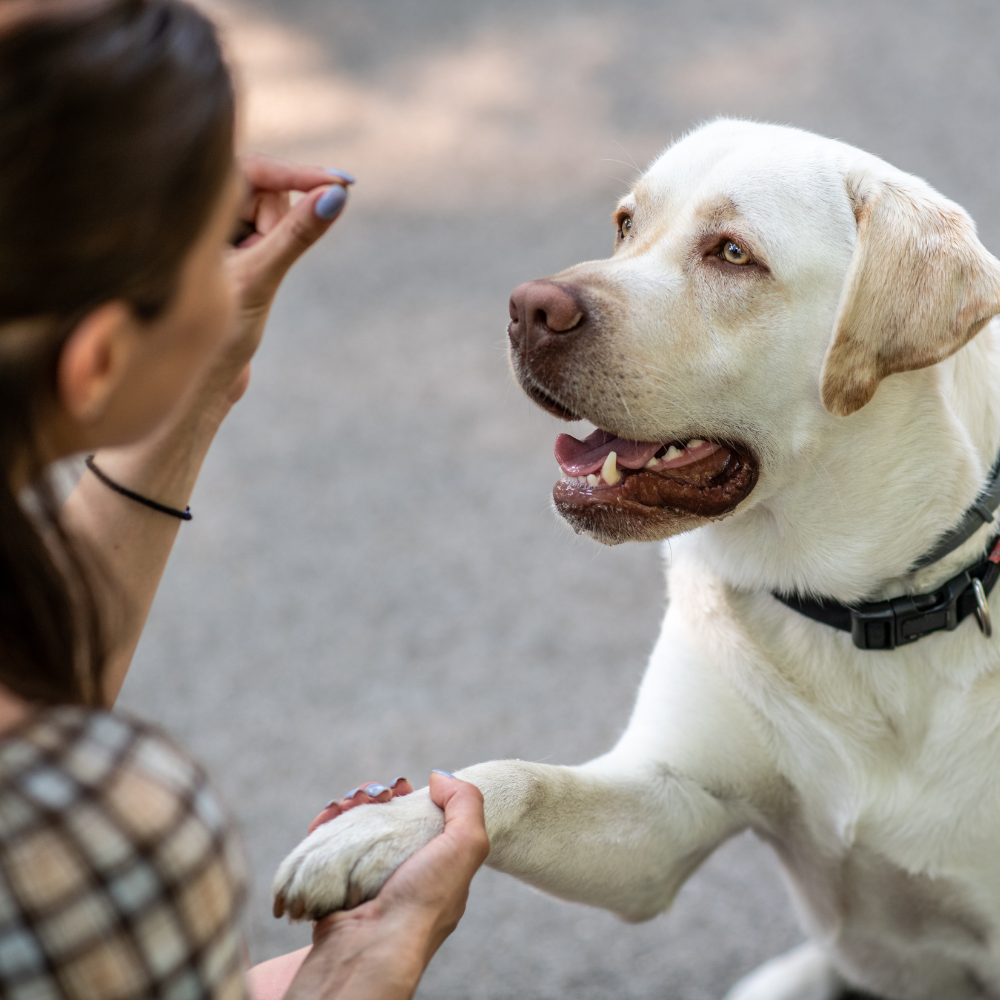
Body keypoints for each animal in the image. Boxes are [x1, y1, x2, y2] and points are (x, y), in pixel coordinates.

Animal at [272, 123, 1000, 1000]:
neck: (864, 612)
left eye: (732, 253)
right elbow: (512, 779)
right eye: (624, 225)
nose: (527, 308)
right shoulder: (663, 818)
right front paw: (382, 829)